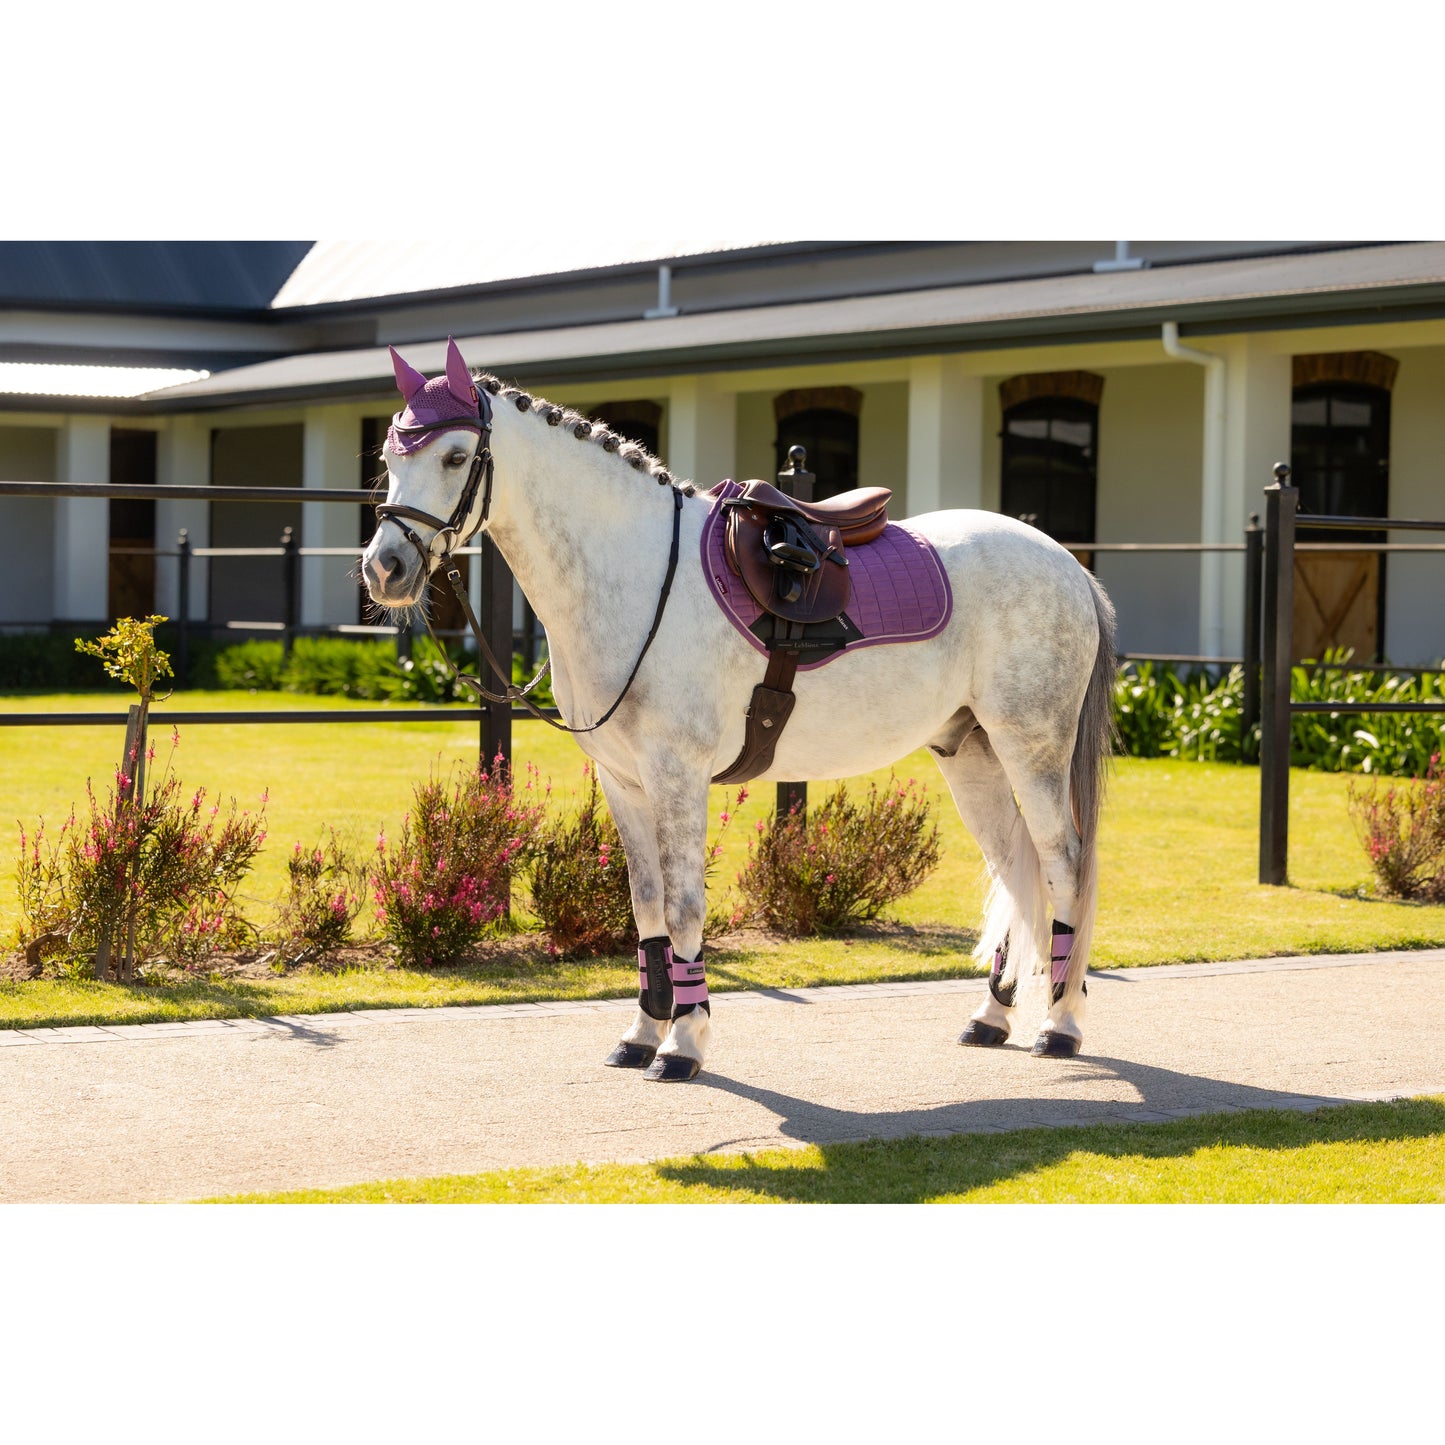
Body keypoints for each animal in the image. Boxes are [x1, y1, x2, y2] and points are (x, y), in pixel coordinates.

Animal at [362, 339, 1116, 1082]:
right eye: (390, 460)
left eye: (455, 456)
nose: (385, 568)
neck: (637, 571)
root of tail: (1070, 566)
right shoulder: (624, 781)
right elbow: (644, 903)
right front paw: (641, 1033)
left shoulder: (677, 775)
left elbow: (683, 906)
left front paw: (683, 1043)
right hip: (972, 755)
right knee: (1016, 866)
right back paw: (992, 1016)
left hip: (1032, 749)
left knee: (1061, 865)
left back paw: (1060, 1024)